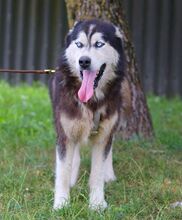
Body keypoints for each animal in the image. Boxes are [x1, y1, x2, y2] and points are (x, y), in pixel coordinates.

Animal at [49, 18, 125, 210]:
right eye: (79, 44)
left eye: (99, 44)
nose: (83, 61)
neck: (91, 101)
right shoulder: (65, 133)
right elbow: (62, 170)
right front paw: (61, 203)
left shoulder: (103, 135)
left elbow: (97, 172)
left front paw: (97, 203)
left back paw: (109, 174)